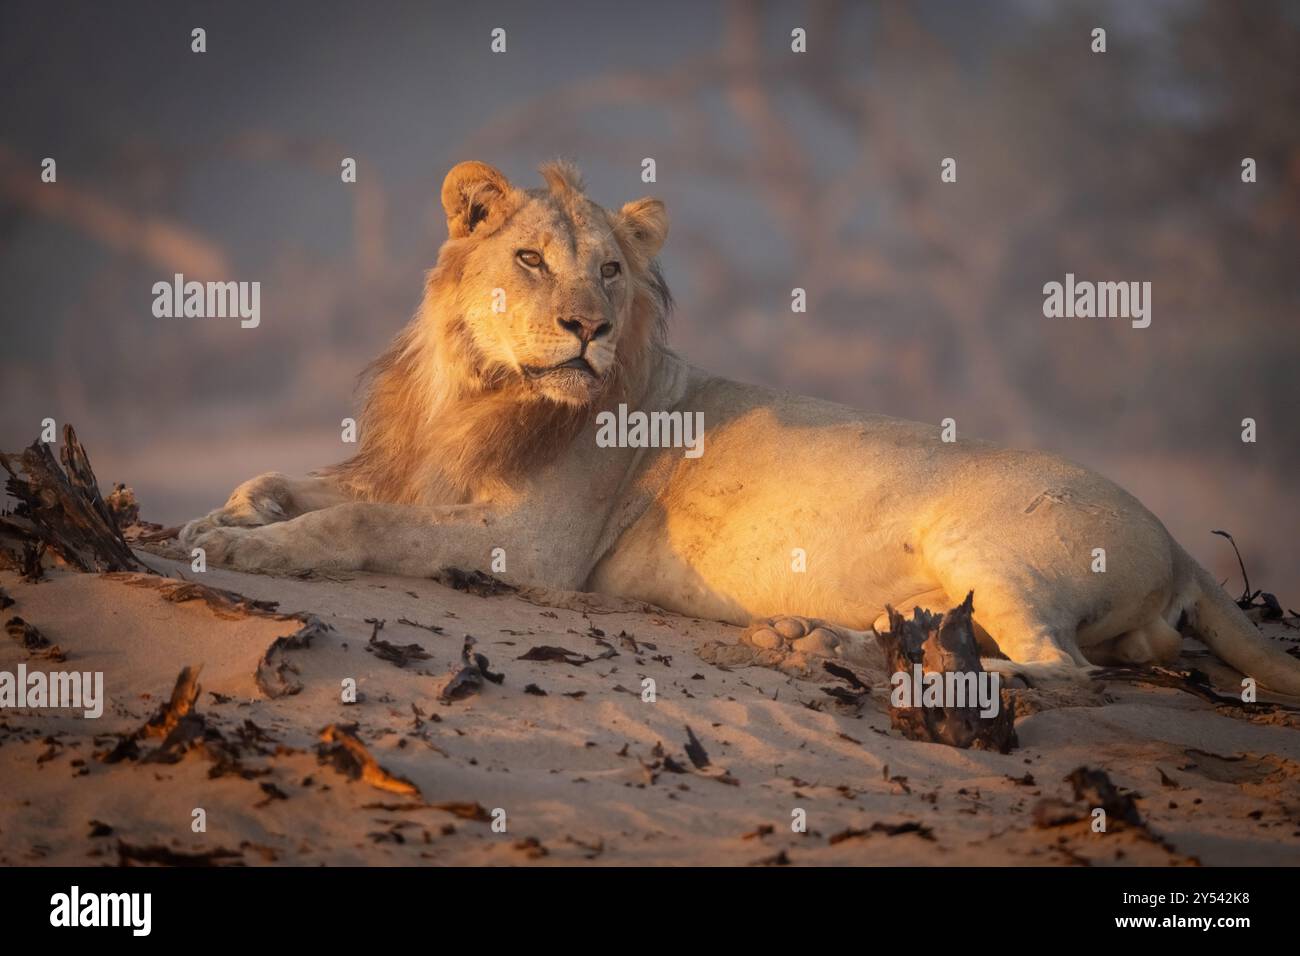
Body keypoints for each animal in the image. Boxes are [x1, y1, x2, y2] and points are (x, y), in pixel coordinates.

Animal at [180, 157, 1300, 697]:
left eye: (612, 272)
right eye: (532, 260)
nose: (588, 327)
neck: (478, 387)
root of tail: (1177, 544)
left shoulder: (532, 547)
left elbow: (353, 523)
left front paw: (245, 549)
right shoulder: (420, 476)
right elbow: (293, 484)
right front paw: (221, 515)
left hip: (988, 538)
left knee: (1060, 670)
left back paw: (865, 658)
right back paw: (827, 641)